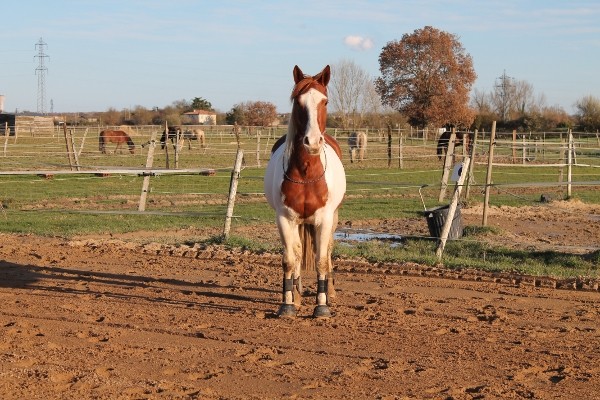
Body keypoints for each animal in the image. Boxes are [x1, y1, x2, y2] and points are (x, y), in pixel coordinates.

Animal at [264, 63, 346, 318]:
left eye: (325, 101)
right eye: (298, 102)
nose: (312, 141)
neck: (307, 173)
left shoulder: (325, 219)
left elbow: (321, 261)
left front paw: (322, 306)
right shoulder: (284, 218)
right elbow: (290, 260)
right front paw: (288, 304)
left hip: (333, 218)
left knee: (327, 252)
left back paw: (330, 291)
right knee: (298, 252)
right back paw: (297, 294)